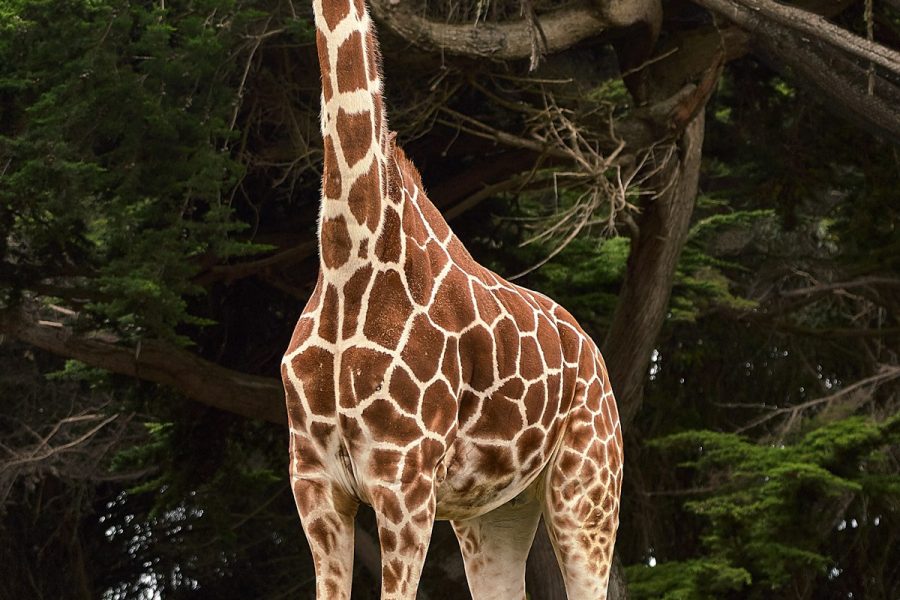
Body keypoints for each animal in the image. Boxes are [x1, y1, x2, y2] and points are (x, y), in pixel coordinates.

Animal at [280, 0, 624, 597]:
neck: (349, 258)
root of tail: (596, 358)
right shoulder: (314, 482)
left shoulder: (405, 482)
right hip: (494, 512)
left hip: (588, 491)